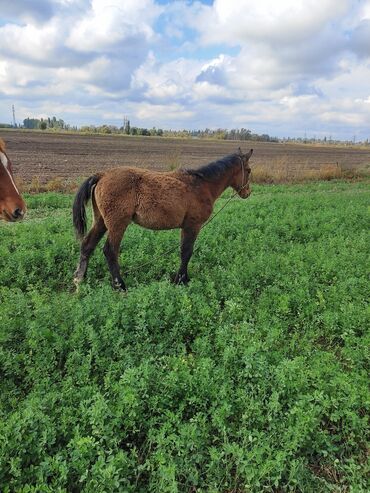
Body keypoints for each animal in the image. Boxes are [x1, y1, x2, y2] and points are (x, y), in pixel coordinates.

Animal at [73, 148, 251, 290]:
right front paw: (181, 280)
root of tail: (102, 175)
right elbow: (187, 252)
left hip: (101, 221)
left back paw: (79, 279)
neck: (202, 185)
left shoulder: (186, 227)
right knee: (110, 251)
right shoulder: (193, 226)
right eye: (248, 170)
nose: (247, 193)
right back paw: (120, 285)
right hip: (117, 224)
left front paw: (182, 278)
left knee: (87, 245)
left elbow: (183, 251)